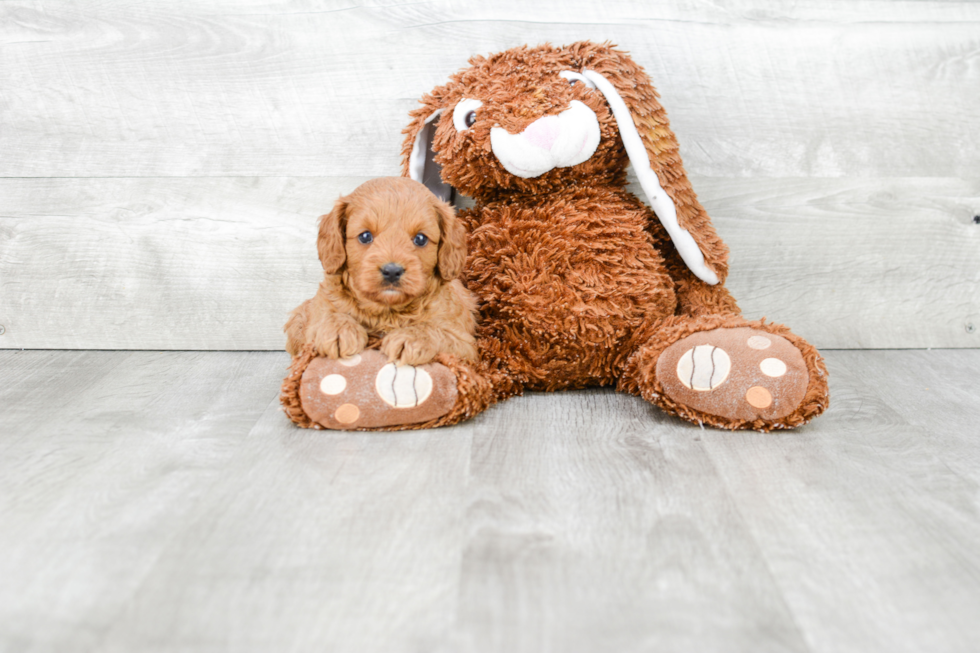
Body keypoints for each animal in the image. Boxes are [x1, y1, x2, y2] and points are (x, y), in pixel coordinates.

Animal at [284, 176, 478, 364]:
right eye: (365, 236)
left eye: (421, 239)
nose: (392, 271)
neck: (386, 311)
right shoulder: (308, 318)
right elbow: (326, 315)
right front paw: (338, 328)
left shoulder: (465, 344)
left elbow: (437, 330)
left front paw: (411, 338)